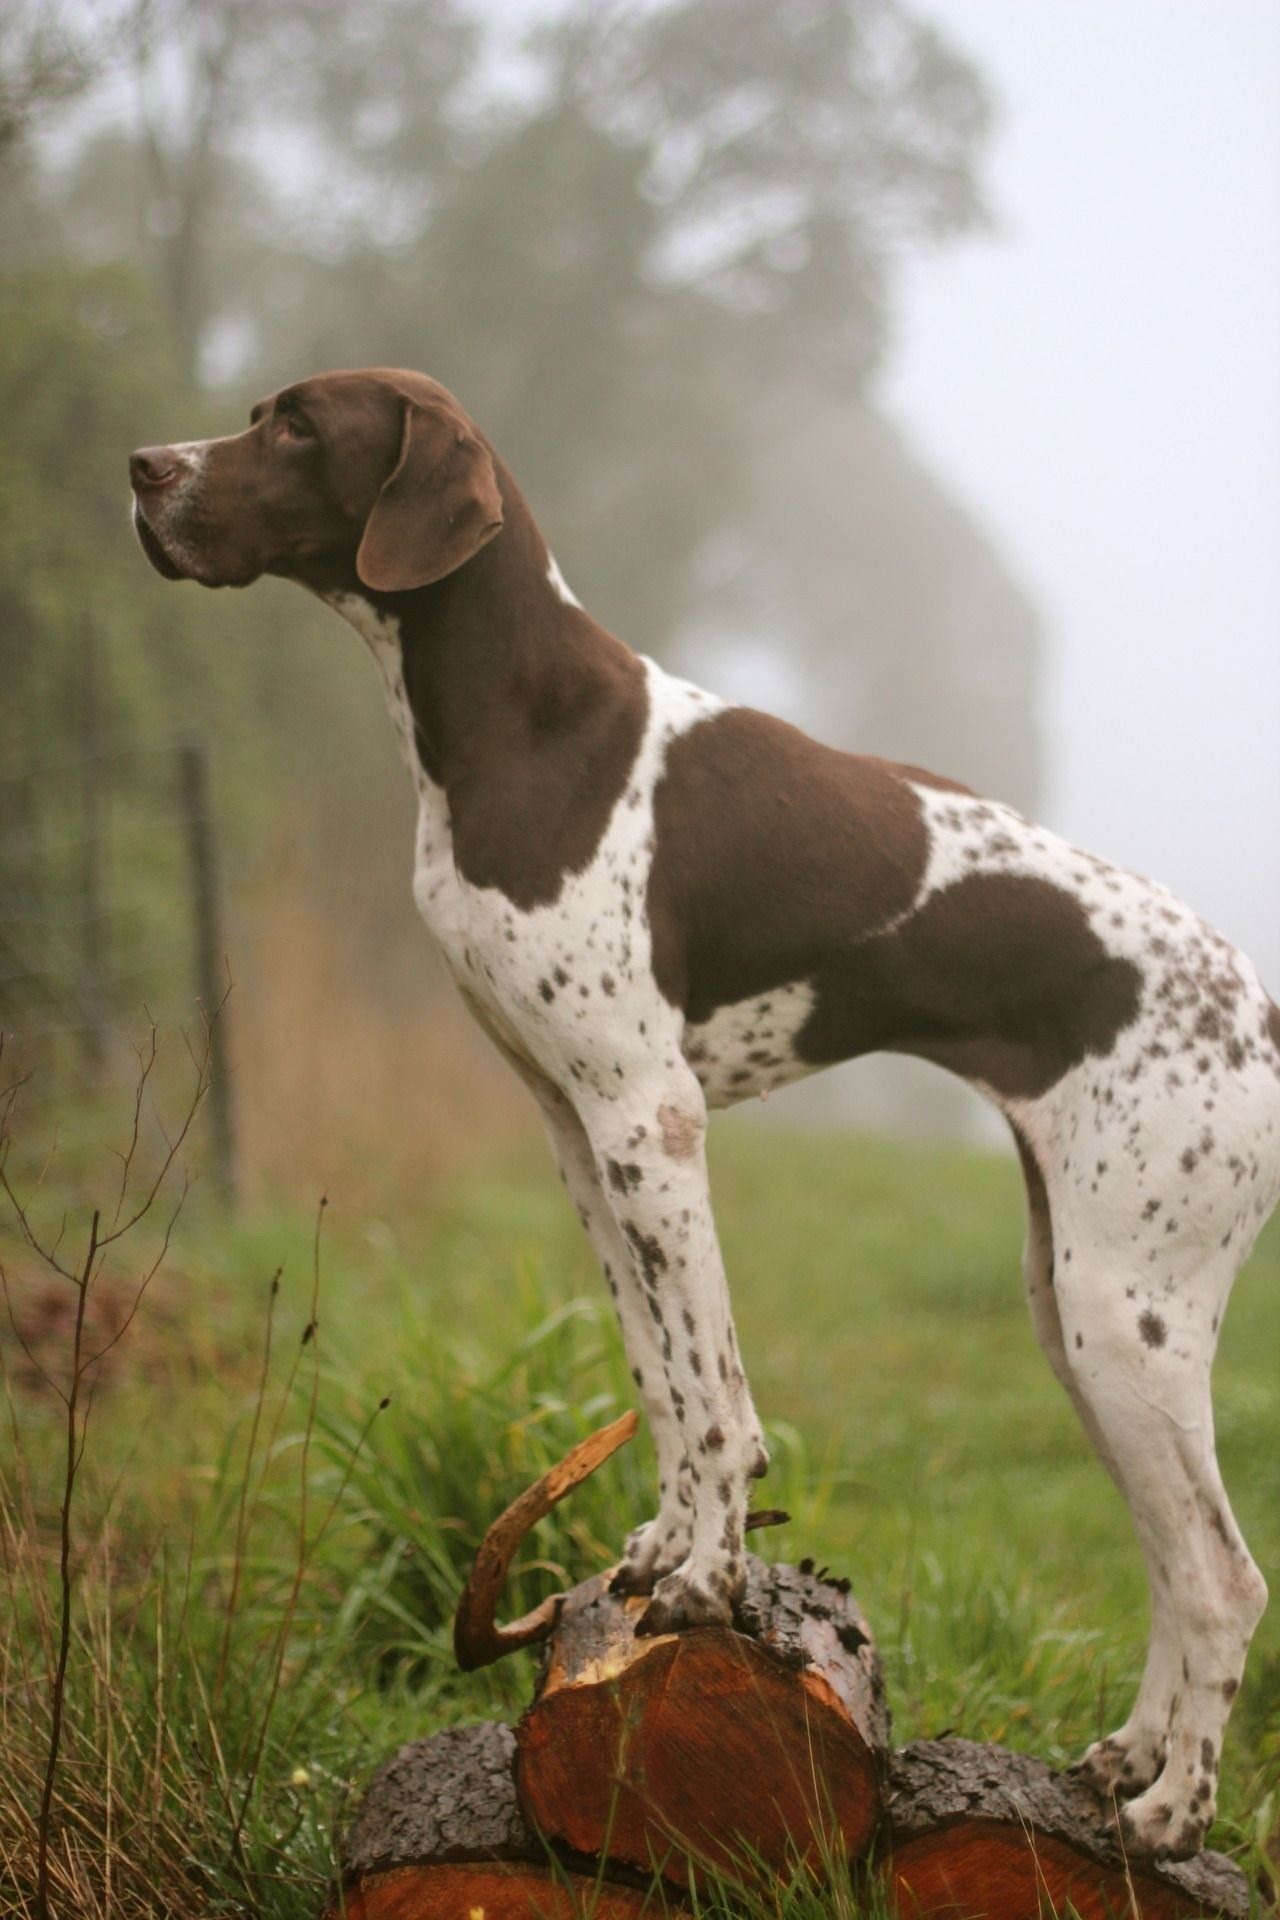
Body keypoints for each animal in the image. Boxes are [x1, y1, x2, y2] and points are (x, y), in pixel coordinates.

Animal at [132, 366, 1280, 1850]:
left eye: (295, 424)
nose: (143, 469)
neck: (513, 720)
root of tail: (1254, 1005)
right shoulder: (578, 1134)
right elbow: (661, 1376)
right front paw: (663, 1556)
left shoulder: (649, 1116)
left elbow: (718, 1394)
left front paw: (705, 1583)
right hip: (1076, 1312)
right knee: (1166, 1552)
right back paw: (1129, 1761)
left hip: (1126, 1309)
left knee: (1219, 1574)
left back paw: (1169, 1815)